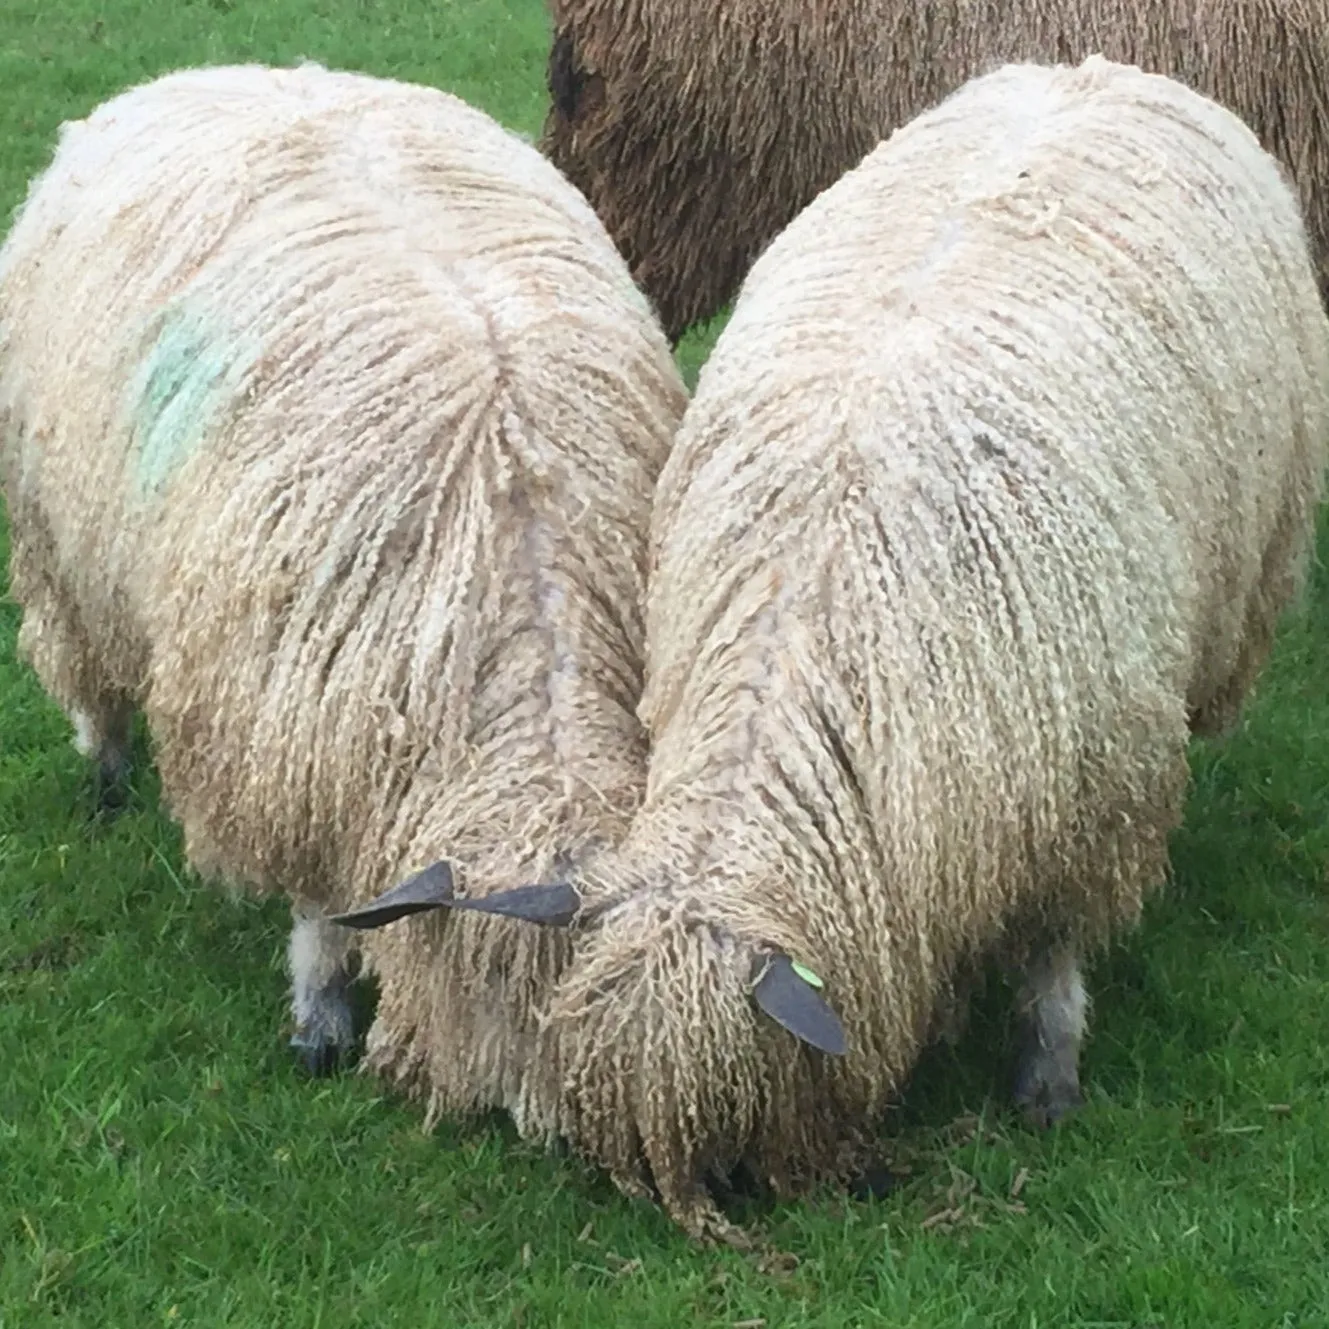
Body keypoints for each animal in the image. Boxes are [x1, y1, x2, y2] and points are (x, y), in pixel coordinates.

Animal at [0, 59, 685, 1100]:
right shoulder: (302, 726)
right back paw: (107, 767)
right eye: (473, 976)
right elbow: (322, 898)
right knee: (86, 662)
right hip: (54, 535)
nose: (517, 1111)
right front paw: (319, 1014)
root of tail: (235, 68)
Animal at [340, 54, 1329, 1233]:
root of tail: (1091, 68)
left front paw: (1046, 1072)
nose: (729, 1207)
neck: (804, 627)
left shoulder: (1095, 792)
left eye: (748, 1096)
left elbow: (1055, 947)